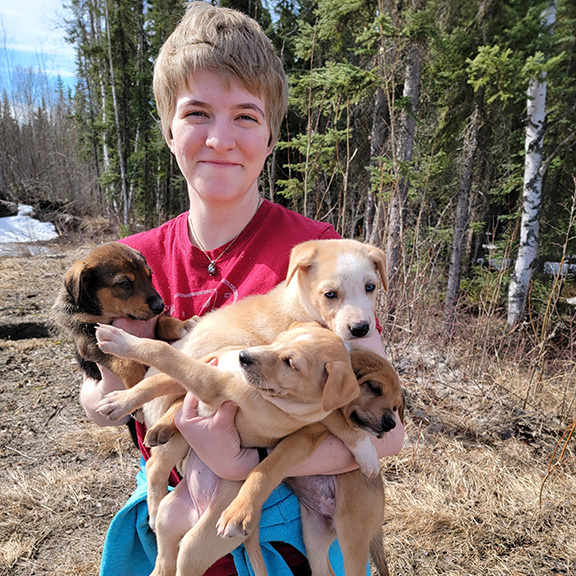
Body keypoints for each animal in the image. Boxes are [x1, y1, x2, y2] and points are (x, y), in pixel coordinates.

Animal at [52, 241, 191, 390]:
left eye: (150, 276)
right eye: (125, 283)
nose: (160, 306)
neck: (104, 313)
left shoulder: (154, 321)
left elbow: (165, 321)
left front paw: (185, 325)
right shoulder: (88, 342)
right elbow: (126, 362)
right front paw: (138, 384)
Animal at [97, 322, 362, 576]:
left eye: (290, 363)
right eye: (278, 339)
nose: (243, 357)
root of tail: (196, 511)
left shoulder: (211, 383)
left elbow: (162, 350)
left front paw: (120, 341)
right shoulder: (208, 362)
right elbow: (155, 380)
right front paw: (120, 401)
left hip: (196, 545)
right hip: (168, 517)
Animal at [217, 346, 404, 576]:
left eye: (396, 407)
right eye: (375, 388)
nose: (391, 424)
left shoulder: (301, 440)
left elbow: (265, 471)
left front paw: (239, 513)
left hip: (352, 534)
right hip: (315, 538)